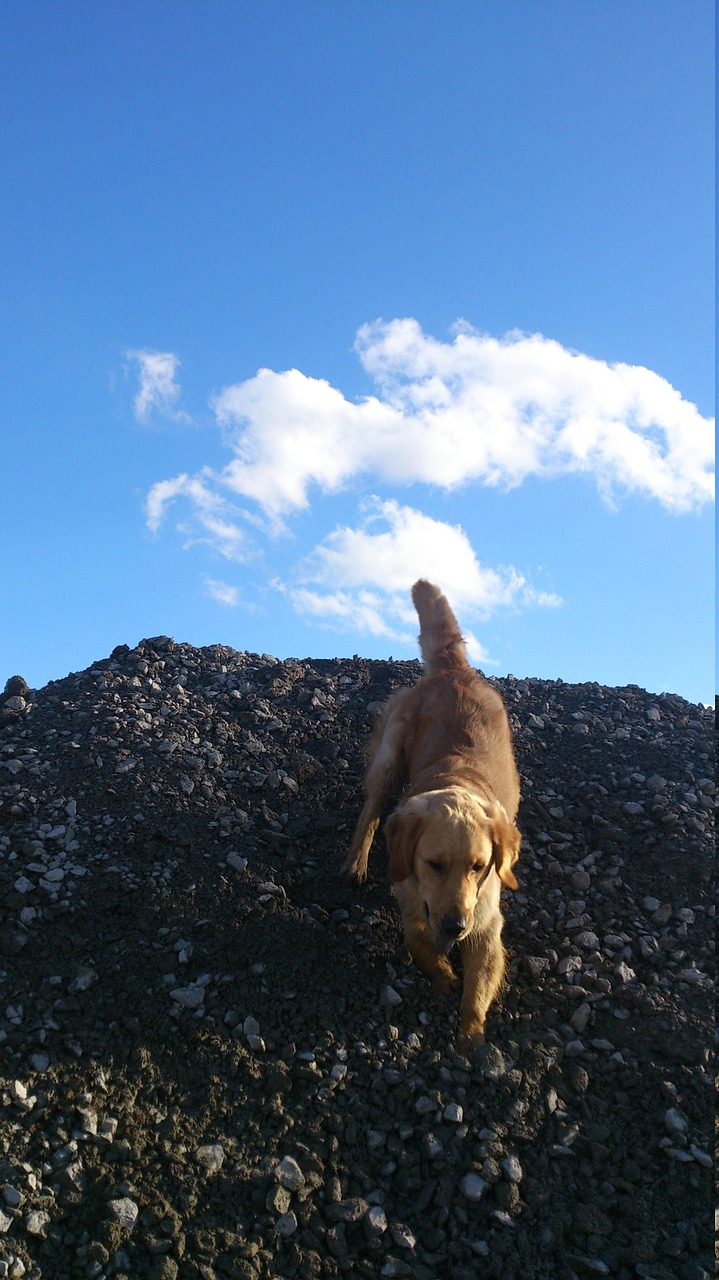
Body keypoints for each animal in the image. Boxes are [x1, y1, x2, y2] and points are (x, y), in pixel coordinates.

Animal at [345, 586, 516, 1044]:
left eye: (479, 866)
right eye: (434, 864)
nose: (455, 925)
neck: (458, 783)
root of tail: (456, 669)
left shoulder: (486, 920)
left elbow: (477, 988)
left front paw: (471, 1039)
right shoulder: (408, 895)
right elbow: (415, 941)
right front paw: (444, 976)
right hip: (391, 753)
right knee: (370, 810)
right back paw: (356, 862)